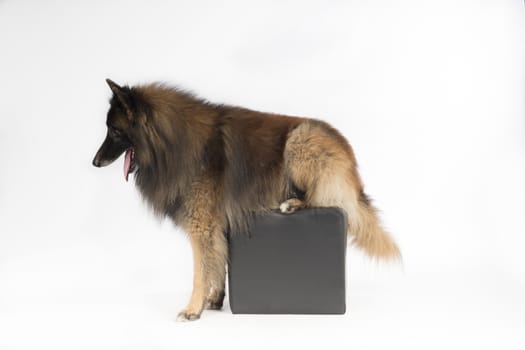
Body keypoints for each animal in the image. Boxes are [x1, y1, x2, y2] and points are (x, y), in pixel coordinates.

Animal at [93, 79, 398, 320]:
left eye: (115, 131)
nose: (95, 162)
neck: (170, 141)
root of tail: (349, 157)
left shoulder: (200, 225)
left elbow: (200, 270)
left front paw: (192, 309)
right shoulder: (214, 225)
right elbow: (216, 261)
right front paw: (214, 299)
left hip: (300, 139)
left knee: (322, 198)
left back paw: (290, 203)